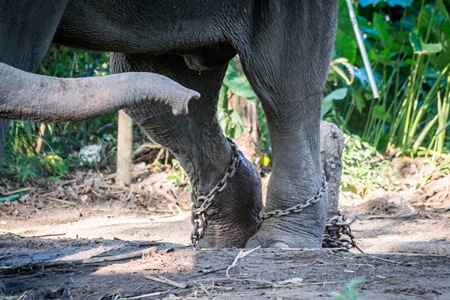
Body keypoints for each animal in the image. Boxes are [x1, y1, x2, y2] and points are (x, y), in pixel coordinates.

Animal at [0, 0, 338, 248]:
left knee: (282, 85)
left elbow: (16, 47)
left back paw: (279, 243)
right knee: (152, 79)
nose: (183, 99)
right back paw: (221, 240)